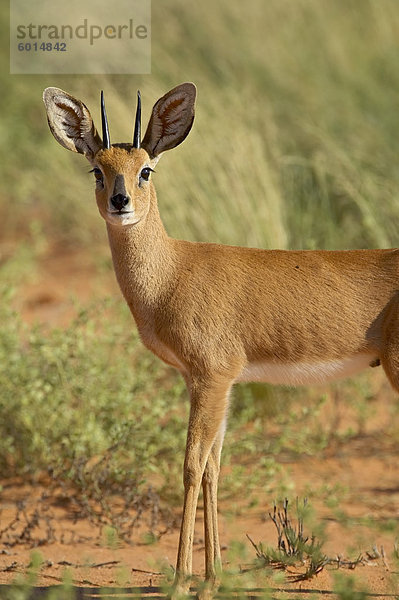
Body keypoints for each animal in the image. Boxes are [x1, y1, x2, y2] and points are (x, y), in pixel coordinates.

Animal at [43, 84, 399, 600]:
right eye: (97, 169)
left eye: (145, 168)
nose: (120, 201)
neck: (171, 273)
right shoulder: (212, 382)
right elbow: (213, 466)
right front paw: (212, 578)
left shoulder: (212, 377)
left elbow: (191, 465)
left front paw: (180, 581)